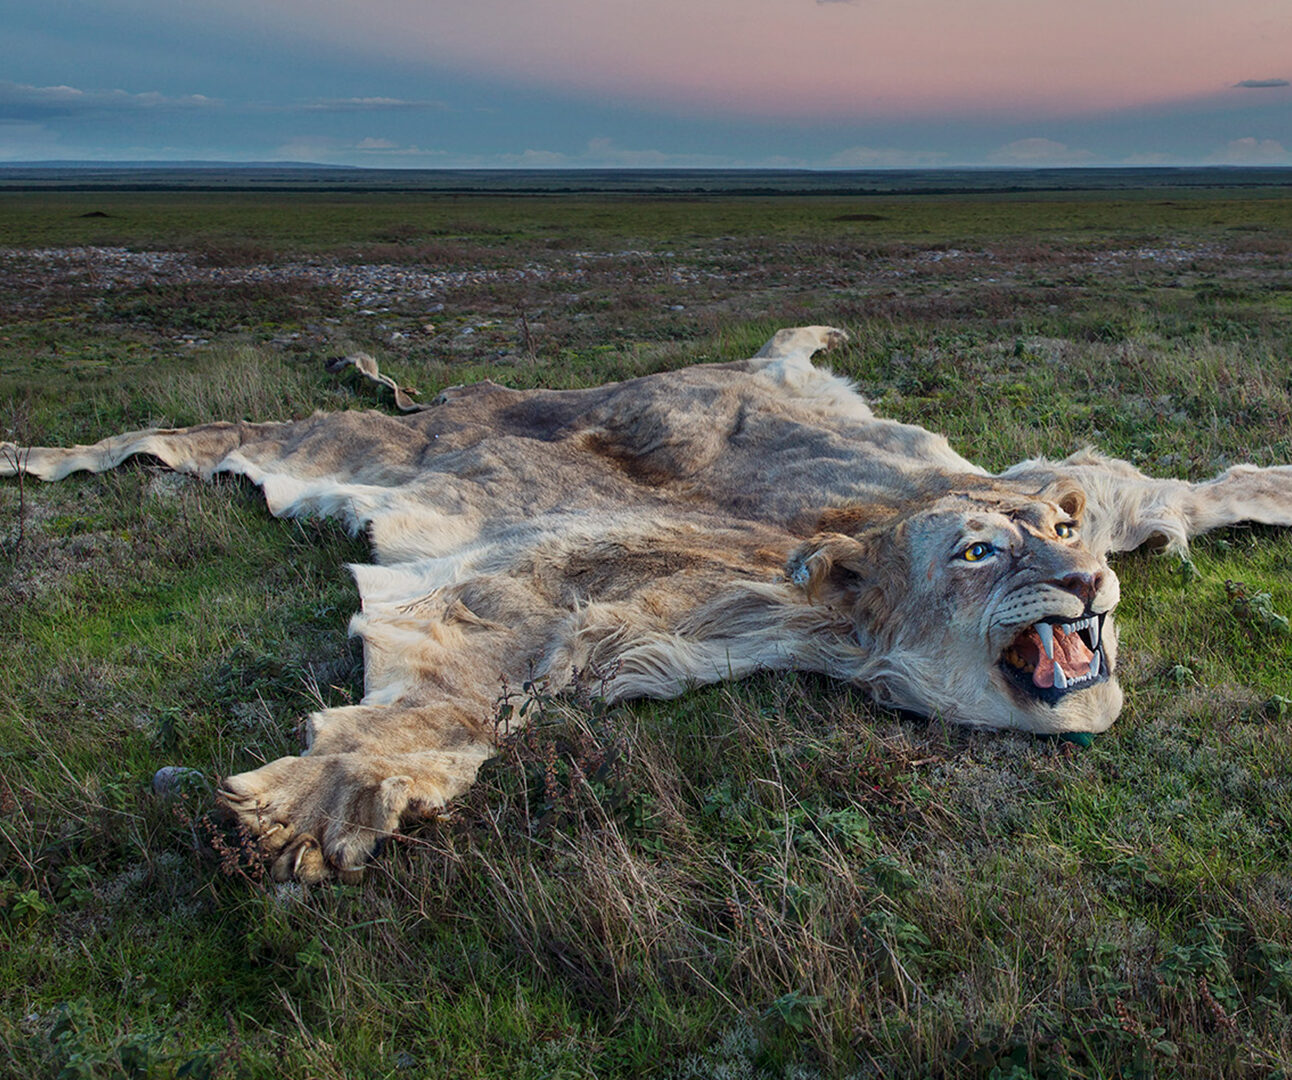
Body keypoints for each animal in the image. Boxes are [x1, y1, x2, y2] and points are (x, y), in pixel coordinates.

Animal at [6, 325, 1292, 883]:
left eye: (1059, 533)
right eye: (978, 554)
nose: (1079, 581)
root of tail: (475, 396)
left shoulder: (1094, 489)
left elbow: (1189, 488)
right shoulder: (575, 601)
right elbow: (450, 698)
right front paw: (307, 809)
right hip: (338, 443)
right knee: (195, 434)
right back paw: (31, 454)